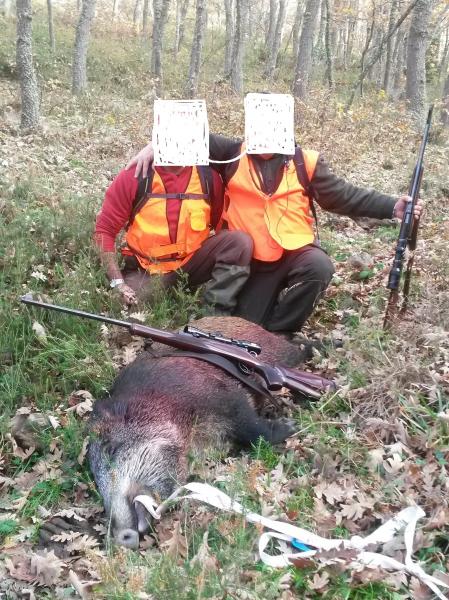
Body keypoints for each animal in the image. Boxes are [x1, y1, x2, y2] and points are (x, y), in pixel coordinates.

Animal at [88, 317, 303, 549]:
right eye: (95, 479)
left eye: (111, 449)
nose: (119, 537)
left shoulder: (226, 396)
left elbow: (253, 428)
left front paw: (292, 425)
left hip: (283, 353)